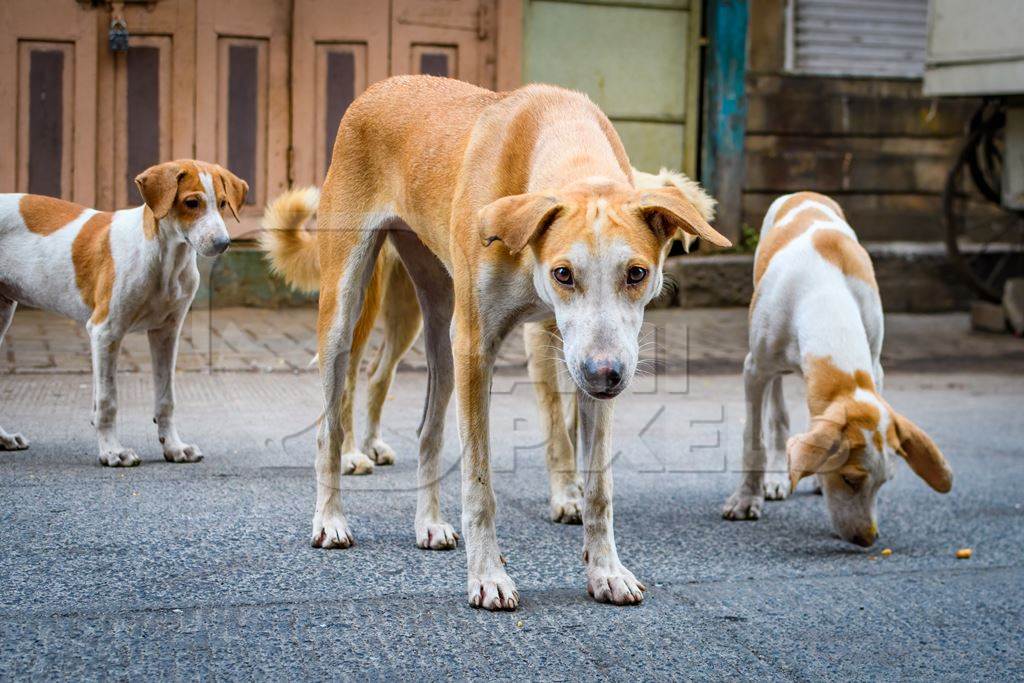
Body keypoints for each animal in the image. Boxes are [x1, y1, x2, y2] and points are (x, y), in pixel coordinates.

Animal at [0, 160, 246, 466]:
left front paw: (174, 446)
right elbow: (108, 401)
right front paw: (112, 451)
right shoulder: (105, 331)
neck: (166, 260)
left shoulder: (166, 333)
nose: (224, 243)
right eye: (192, 203)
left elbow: (166, 399)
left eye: (223, 203)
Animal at [260, 165, 716, 528]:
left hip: (414, 313)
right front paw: (565, 493)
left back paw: (373, 442)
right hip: (359, 301)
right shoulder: (541, 342)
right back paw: (352, 453)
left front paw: (575, 483)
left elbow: (574, 418)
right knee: (349, 377)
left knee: (378, 373)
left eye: (639, 270)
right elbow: (556, 426)